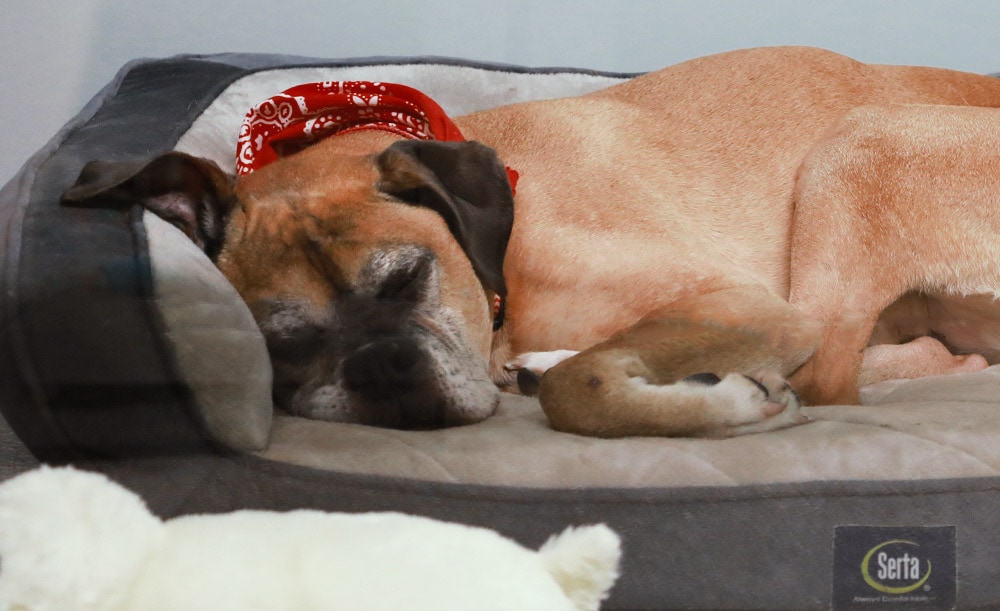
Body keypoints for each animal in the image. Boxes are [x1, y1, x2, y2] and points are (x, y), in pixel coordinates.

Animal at [60, 47, 1000, 438]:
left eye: (407, 278)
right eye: (280, 342)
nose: (380, 369)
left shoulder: (737, 299)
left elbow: (585, 387)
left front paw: (722, 401)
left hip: (860, 143)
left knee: (837, 372)